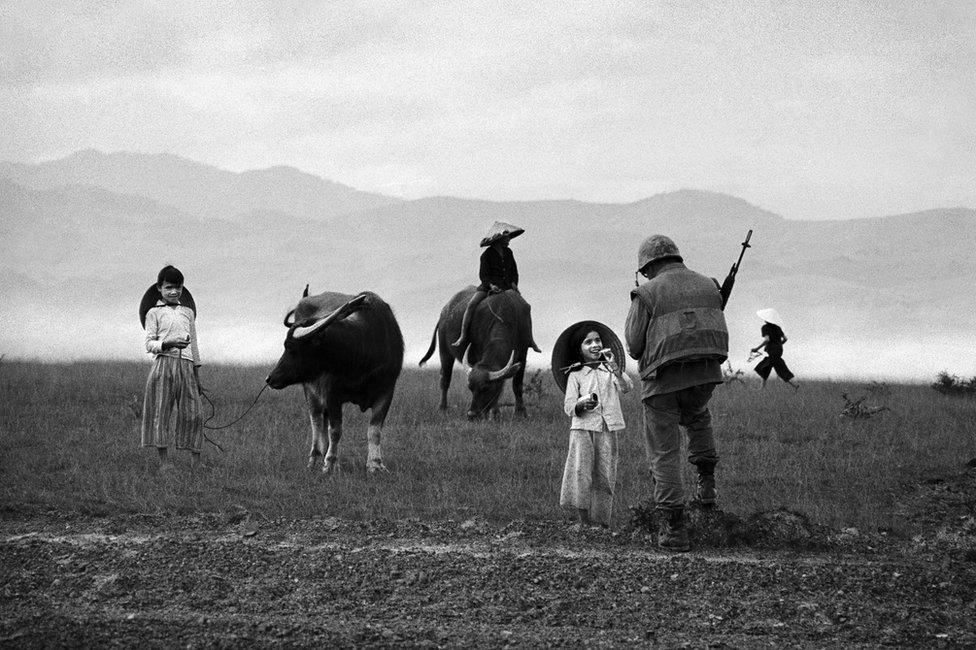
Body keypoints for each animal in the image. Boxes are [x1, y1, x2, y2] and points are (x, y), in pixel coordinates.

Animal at [264, 288, 402, 470]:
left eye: (290, 347)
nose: (269, 378)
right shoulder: (332, 395)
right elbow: (335, 430)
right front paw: (330, 463)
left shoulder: (386, 392)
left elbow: (374, 430)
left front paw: (375, 464)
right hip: (310, 391)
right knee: (316, 422)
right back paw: (315, 459)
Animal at [418, 286, 532, 418]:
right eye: (470, 388)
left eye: (486, 388)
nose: (471, 414)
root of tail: (444, 312)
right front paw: (495, 413)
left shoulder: (523, 353)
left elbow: (517, 385)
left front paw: (520, 412)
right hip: (444, 350)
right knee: (445, 379)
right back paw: (442, 408)